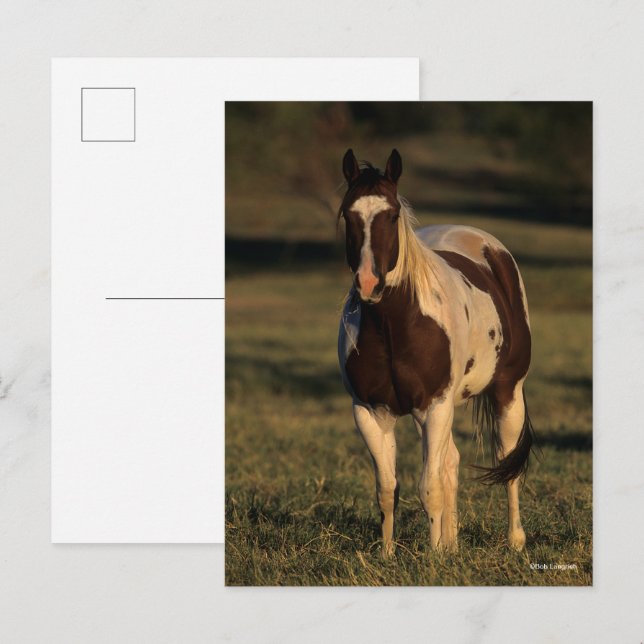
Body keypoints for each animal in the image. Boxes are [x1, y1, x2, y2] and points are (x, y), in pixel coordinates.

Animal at [337, 148, 535, 555]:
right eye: (348, 213)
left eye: (392, 214)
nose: (368, 283)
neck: (394, 326)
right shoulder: (370, 412)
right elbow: (387, 489)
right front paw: (389, 555)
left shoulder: (436, 405)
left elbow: (428, 489)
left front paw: (432, 558)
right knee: (451, 462)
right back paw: (453, 545)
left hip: (507, 392)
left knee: (507, 462)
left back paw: (515, 541)